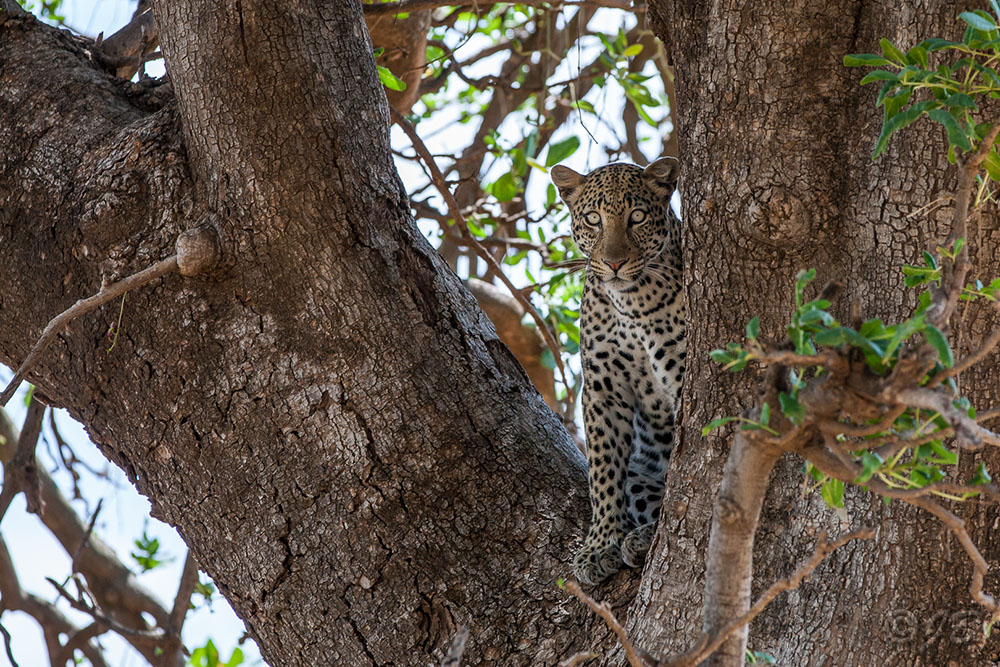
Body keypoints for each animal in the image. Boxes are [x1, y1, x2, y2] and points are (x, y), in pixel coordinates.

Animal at [551, 157, 684, 586]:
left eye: (637, 217)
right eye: (593, 219)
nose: (613, 263)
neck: (632, 303)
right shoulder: (602, 388)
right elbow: (603, 472)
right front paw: (599, 545)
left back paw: (643, 538)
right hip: (639, 474)